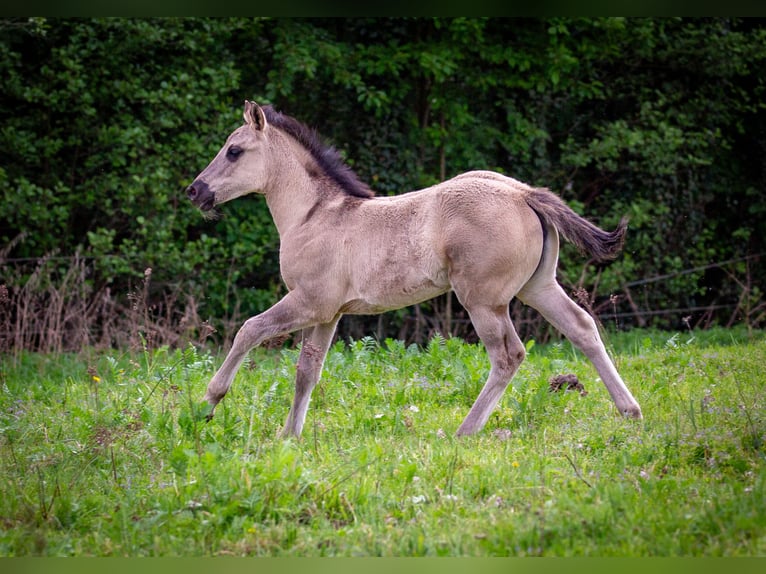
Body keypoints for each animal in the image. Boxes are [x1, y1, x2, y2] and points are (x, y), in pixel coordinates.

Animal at [186, 100, 642, 438]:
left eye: (234, 150)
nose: (194, 191)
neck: (314, 215)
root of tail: (523, 193)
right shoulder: (328, 314)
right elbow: (306, 372)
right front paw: (289, 436)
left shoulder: (310, 302)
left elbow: (250, 330)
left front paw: (207, 404)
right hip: (538, 287)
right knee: (582, 328)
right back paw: (630, 411)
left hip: (484, 301)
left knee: (509, 355)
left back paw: (465, 431)